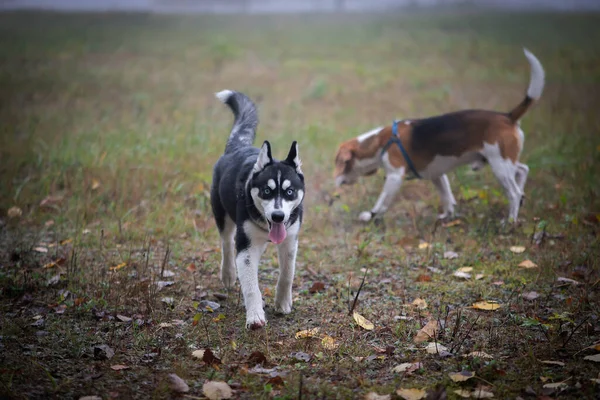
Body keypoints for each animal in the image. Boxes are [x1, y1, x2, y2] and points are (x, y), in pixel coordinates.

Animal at [211, 89, 304, 330]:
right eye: (266, 191)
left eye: (290, 192)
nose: (278, 216)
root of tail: (238, 147)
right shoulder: (246, 248)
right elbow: (251, 286)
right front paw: (255, 316)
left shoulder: (290, 240)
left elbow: (287, 274)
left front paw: (283, 302)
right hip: (222, 215)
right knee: (226, 243)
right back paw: (228, 273)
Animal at [336, 48, 548, 223]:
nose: (335, 183)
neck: (380, 142)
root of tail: (508, 116)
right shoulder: (437, 174)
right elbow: (447, 197)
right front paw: (448, 216)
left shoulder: (395, 177)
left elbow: (382, 202)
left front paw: (371, 215)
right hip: (503, 160)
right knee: (523, 171)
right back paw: (520, 200)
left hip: (500, 165)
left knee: (513, 192)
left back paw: (510, 220)